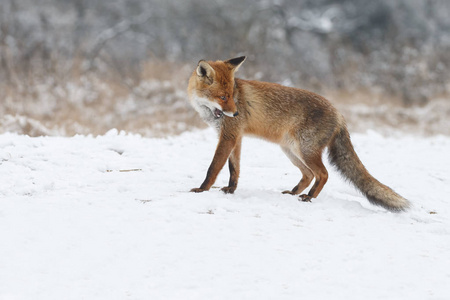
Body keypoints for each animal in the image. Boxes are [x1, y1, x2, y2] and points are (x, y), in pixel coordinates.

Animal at [185, 55, 408, 211]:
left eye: (232, 96)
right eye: (223, 97)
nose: (236, 112)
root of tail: (338, 113)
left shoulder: (229, 136)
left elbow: (213, 167)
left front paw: (202, 189)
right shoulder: (235, 137)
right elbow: (234, 169)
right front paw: (231, 190)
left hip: (305, 150)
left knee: (323, 174)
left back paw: (309, 197)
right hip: (291, 151)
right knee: (308, 175)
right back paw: (292, 193)